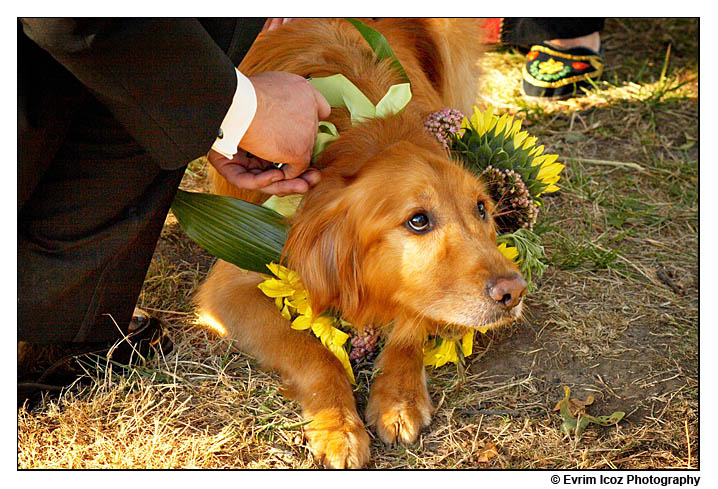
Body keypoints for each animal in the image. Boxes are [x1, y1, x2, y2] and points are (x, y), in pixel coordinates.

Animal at [197, 19, 528, 468]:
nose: (514, 291)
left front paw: (398, 399)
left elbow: (412, 322)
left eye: (481, 209)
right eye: (418, 221)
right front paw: (337, 426)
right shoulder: (229, 287)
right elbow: (313, 352)